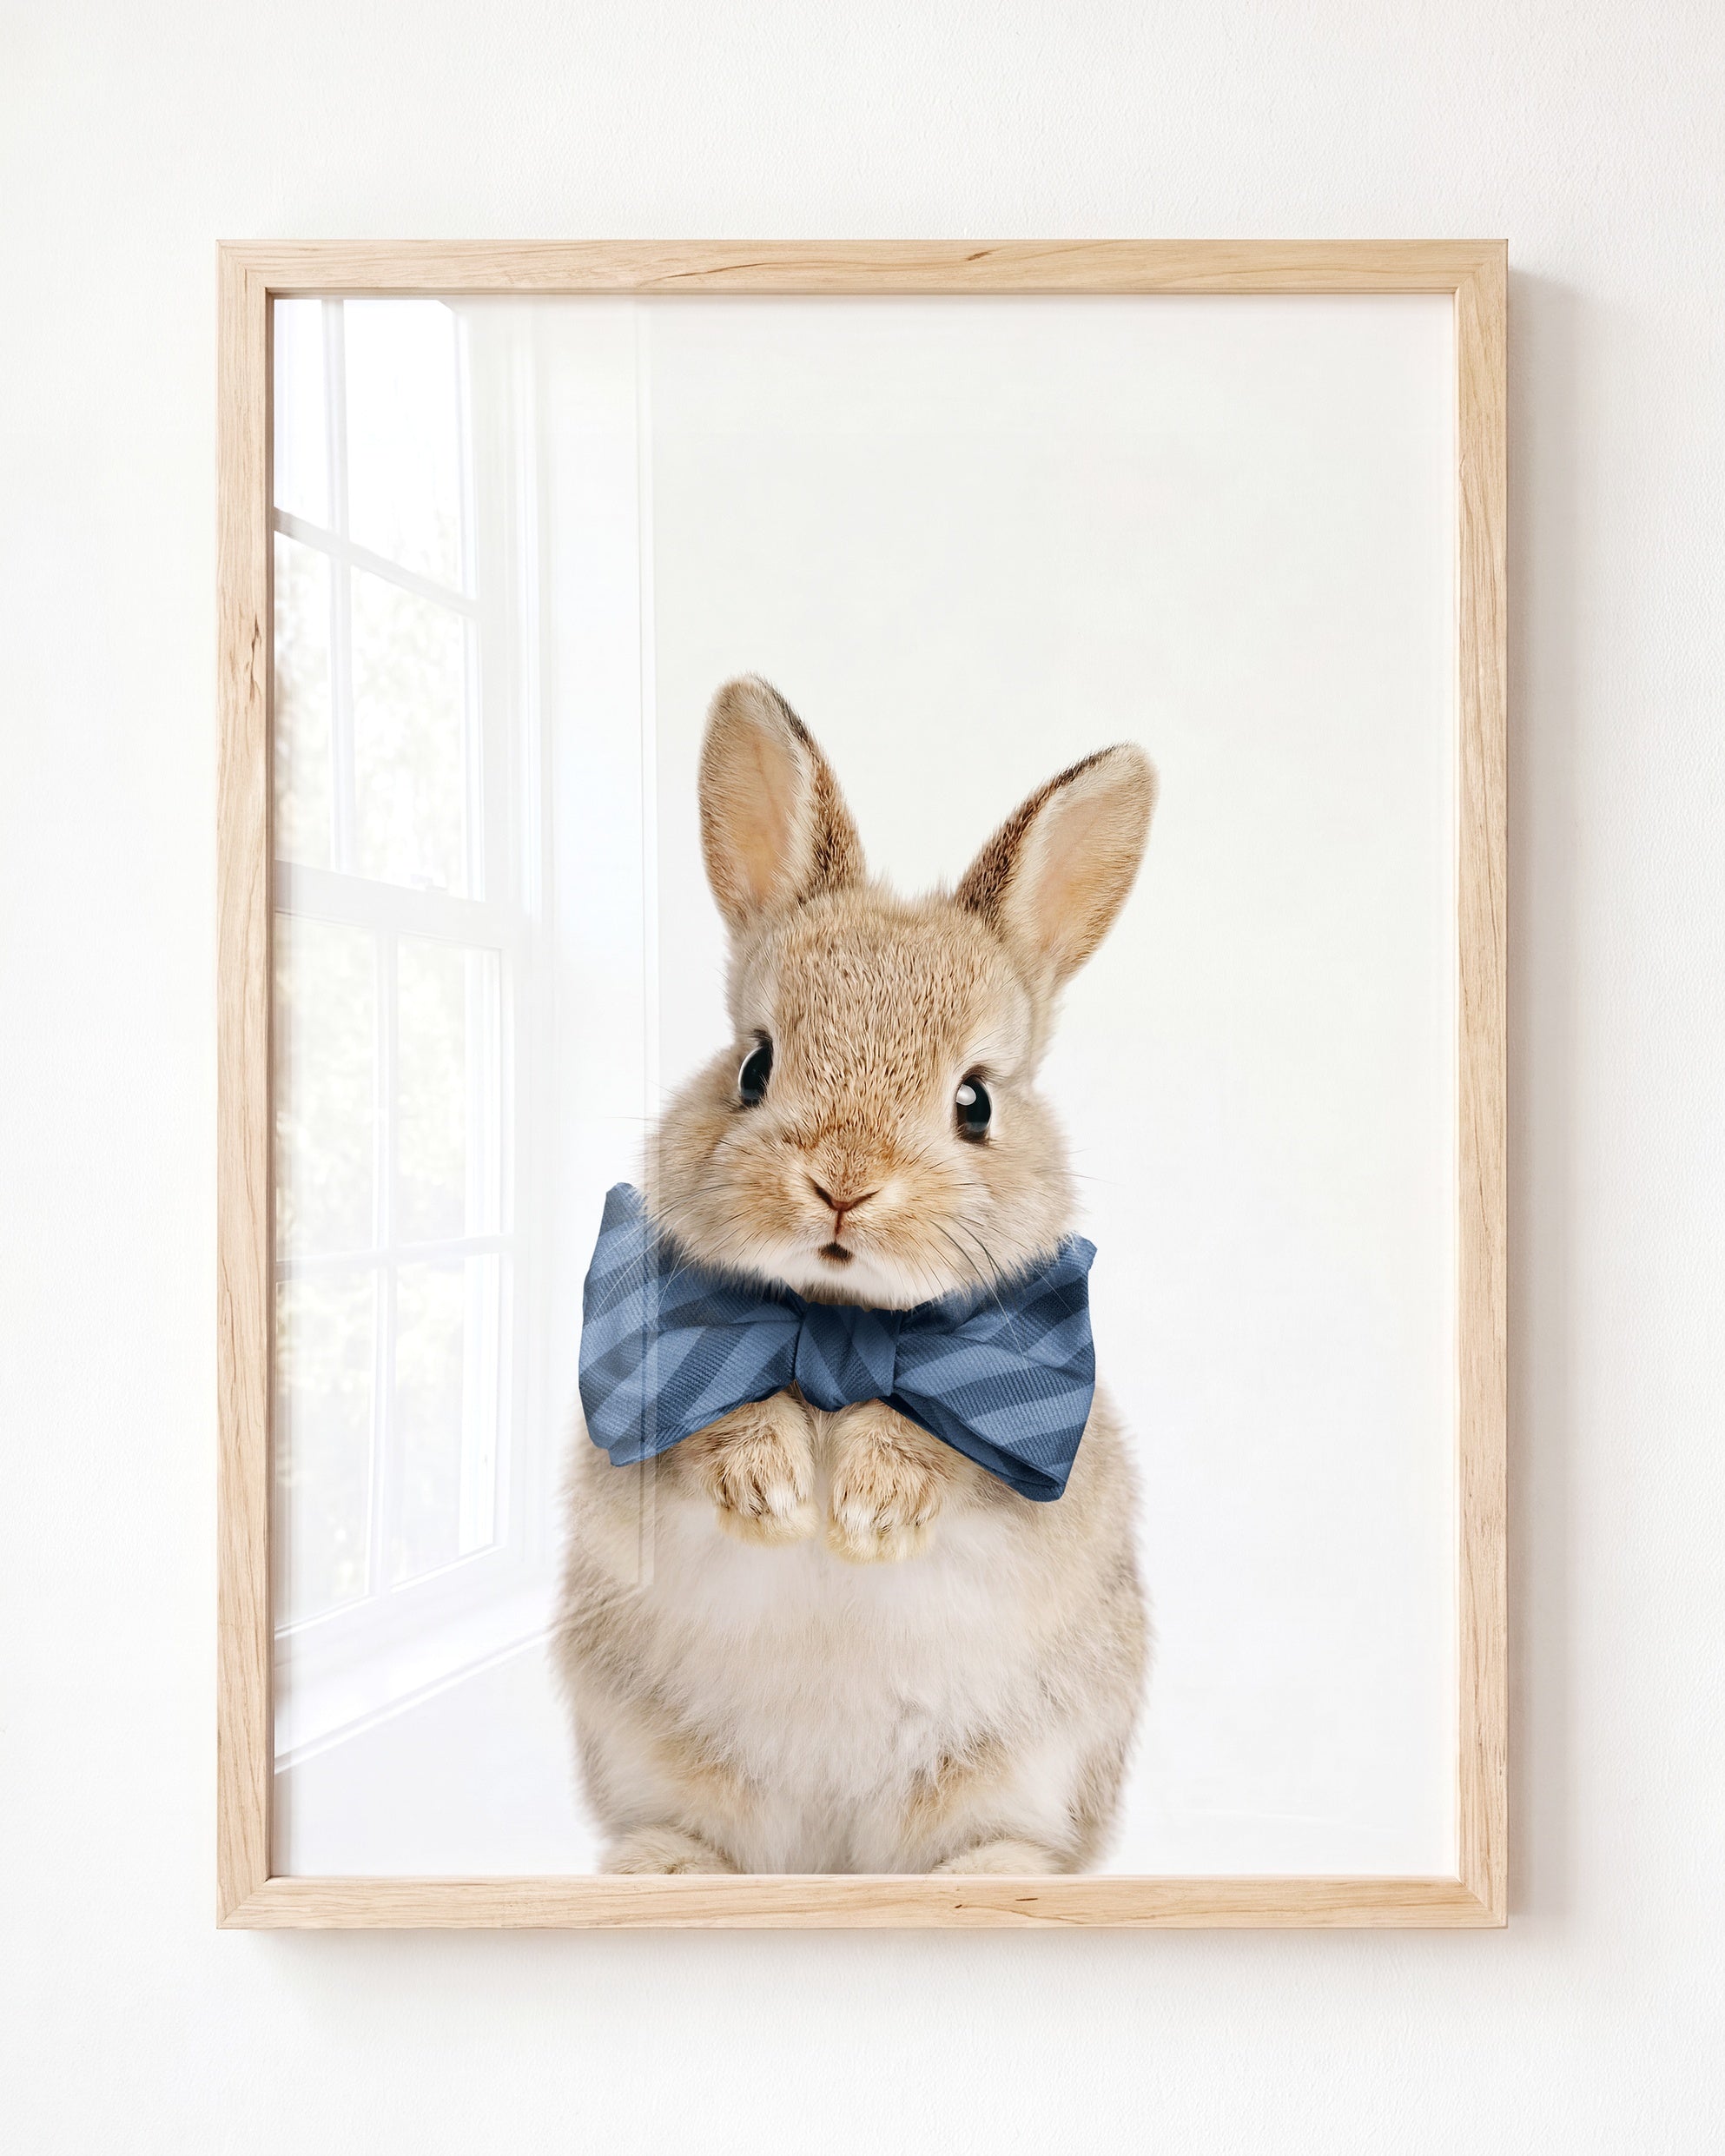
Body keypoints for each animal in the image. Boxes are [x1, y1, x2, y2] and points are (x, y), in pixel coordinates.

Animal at [554, 675, 1155, 1875]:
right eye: (754, 1064)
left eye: (975, 1100)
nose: (843, 1184)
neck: (839, 1322)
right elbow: (709, 1428)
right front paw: (777, 1493)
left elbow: (950, 1449)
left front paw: (870, 1507)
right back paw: (666, 1868)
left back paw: (992, 1880)